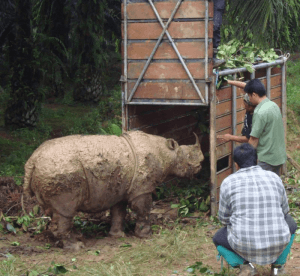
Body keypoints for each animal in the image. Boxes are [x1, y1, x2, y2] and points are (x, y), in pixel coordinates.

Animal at [24, 130, 204, 240]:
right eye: (187, 159)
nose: (200, 165)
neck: (166, 154)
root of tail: (32, 160)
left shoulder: (122, 188)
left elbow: (119, 211)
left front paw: (117, 235)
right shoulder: (142, 189)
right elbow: (143, 209)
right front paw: (146, 235)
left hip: (49, 169)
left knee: (57, 212)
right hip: (60, 170)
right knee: (66, 210)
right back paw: (76, 246)